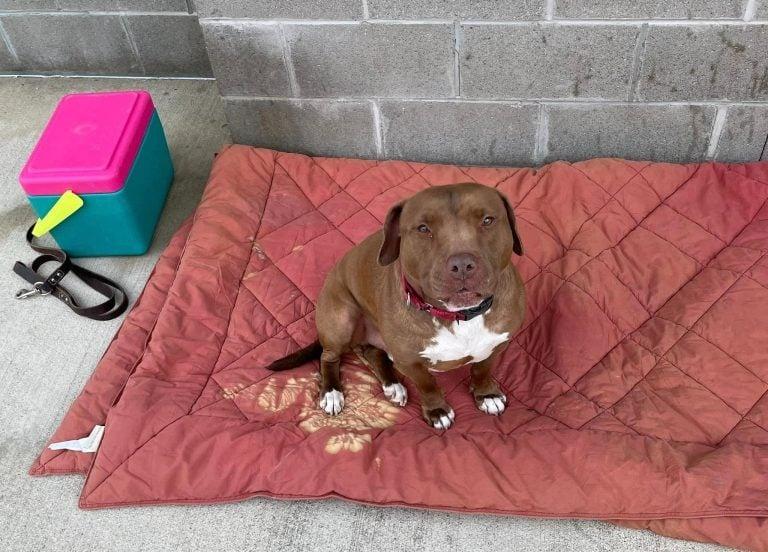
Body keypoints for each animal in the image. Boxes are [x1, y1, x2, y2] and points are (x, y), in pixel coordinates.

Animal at [268, 183, 524, 430]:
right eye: (423, 228)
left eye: (487, 220)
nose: (462, 265)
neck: (458, 316)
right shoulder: (409, 362)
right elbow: (428, 386)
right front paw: (437, 410)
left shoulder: (497, 344)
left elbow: (482, 370)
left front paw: (487, 394)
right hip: (341, 319)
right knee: (328, 356)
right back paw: (332, 392)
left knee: (371, 351)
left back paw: (393, 385)